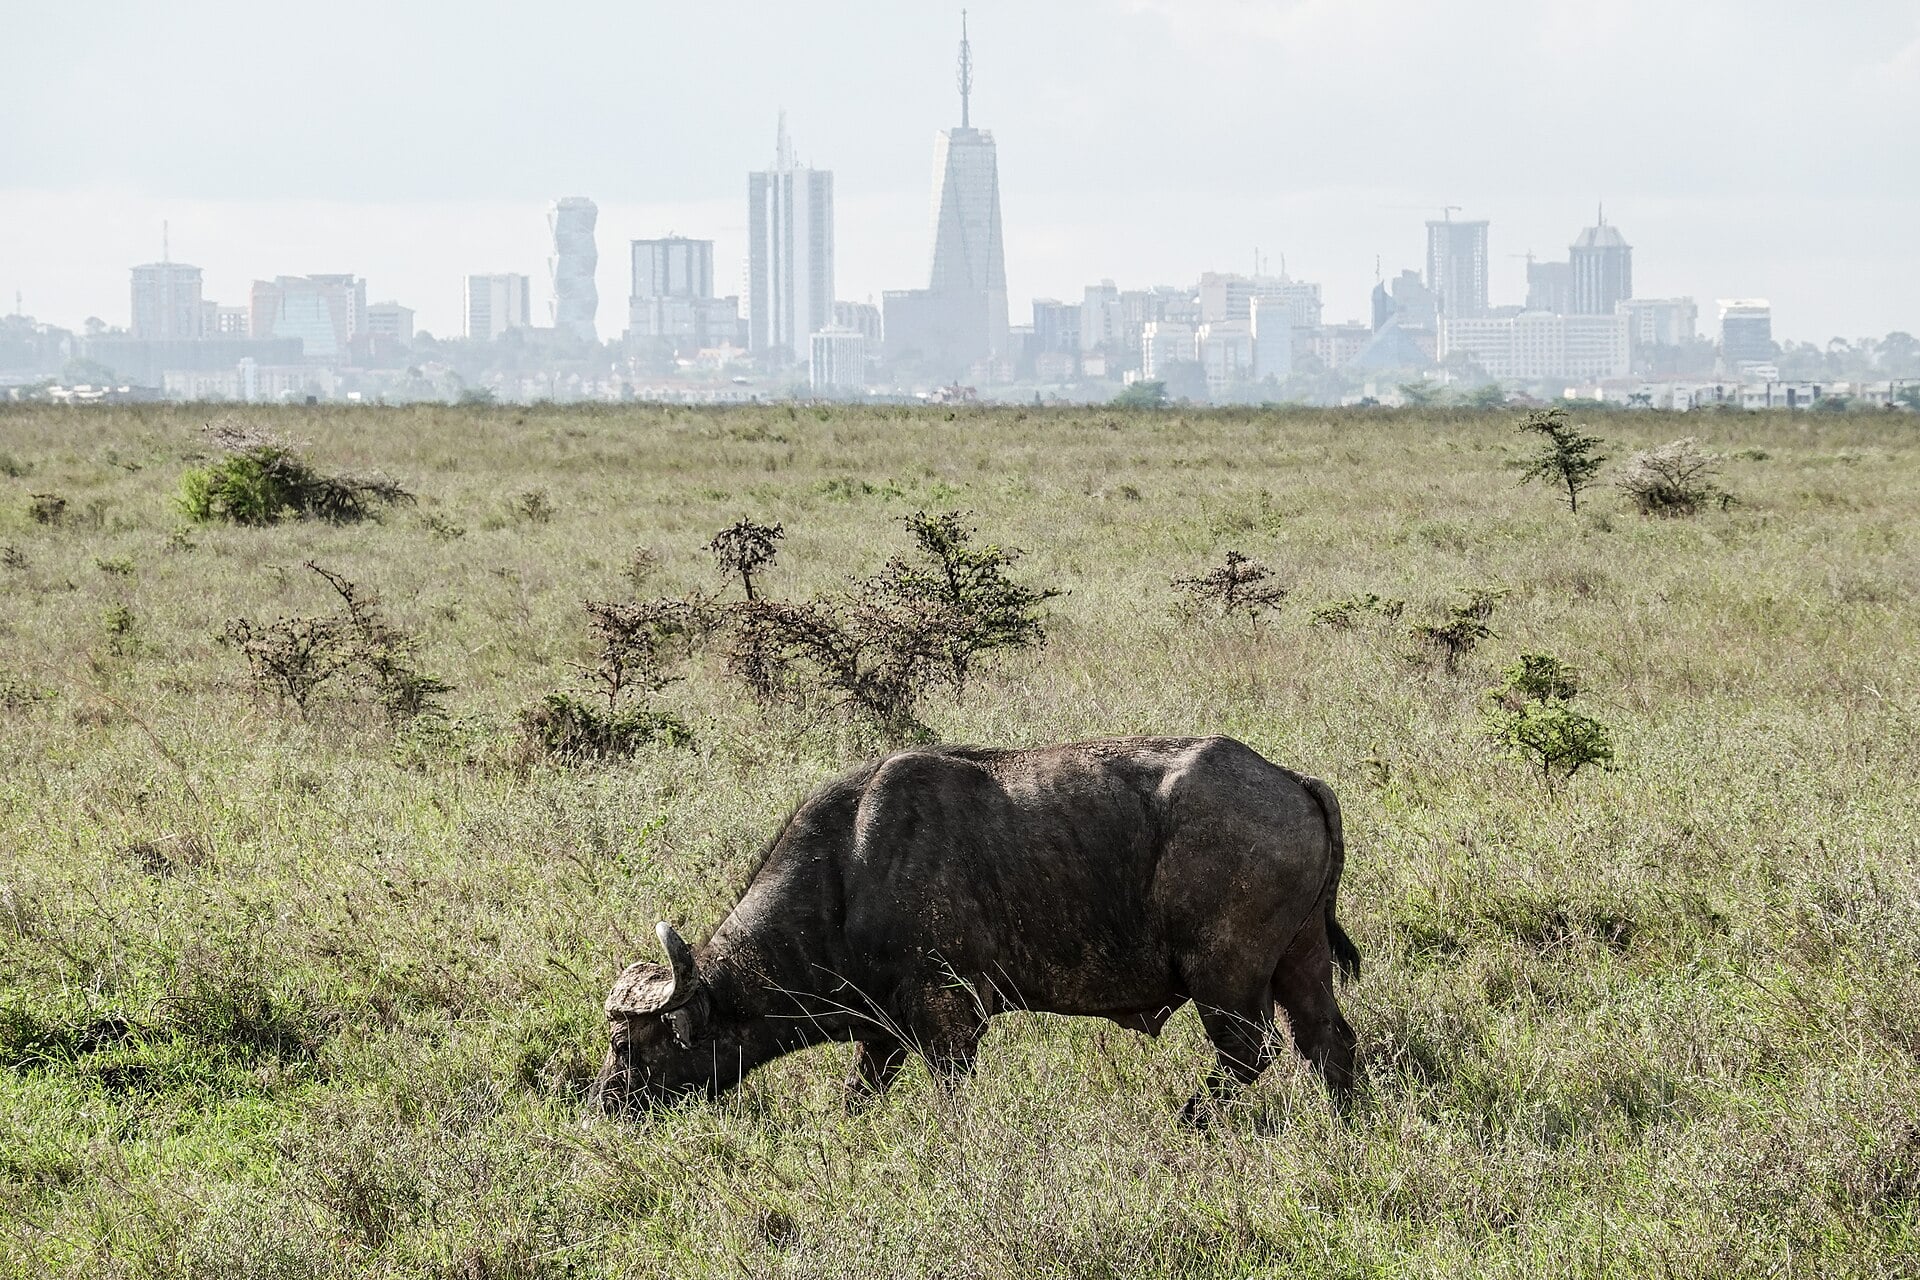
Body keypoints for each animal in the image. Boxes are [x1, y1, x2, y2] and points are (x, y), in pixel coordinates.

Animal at [592, 735, 1358, 1121]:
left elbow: (949, 1099)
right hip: (1300, 962)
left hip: (1223, 976)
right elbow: (855, 1099)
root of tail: (1290, 779)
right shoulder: (883, 1034)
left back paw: (1189, 1119)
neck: (849, 868)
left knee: (1251, 1051)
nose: (602, 1103)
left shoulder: (948, 1024)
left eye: (629, 1046)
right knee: (1327, 1040)